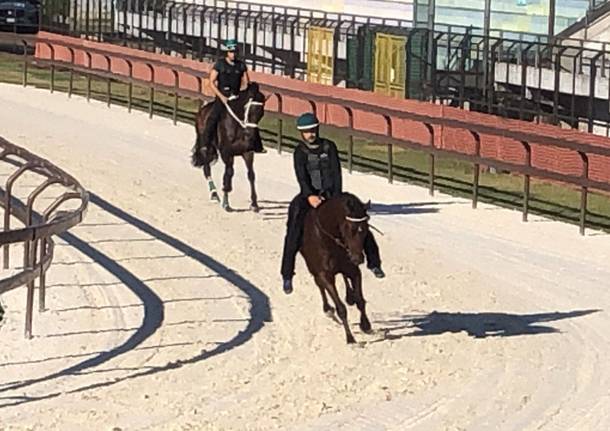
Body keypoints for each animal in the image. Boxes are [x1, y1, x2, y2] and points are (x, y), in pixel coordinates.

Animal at [190, 81, 266, 213]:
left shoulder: (248, 152)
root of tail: (202, 110)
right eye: (248, 110)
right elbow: (229, 173)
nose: (250, 134)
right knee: (206, 168)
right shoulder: (227, 153)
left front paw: (254, 204)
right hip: (205, 147)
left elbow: (251, 175)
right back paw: (214, 194)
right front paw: (226, 200)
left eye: (261, 113)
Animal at [298, 192, 370, 344]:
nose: (358, 259)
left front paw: (366, 325)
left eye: (366, 228)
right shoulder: (326, 276)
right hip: (313, 268)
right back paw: (327, 309)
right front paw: (350, 338)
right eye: (349, 228)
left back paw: (349, 296)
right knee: (319, 285)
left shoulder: (354, 271)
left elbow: (360, 301)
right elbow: (341, 308)